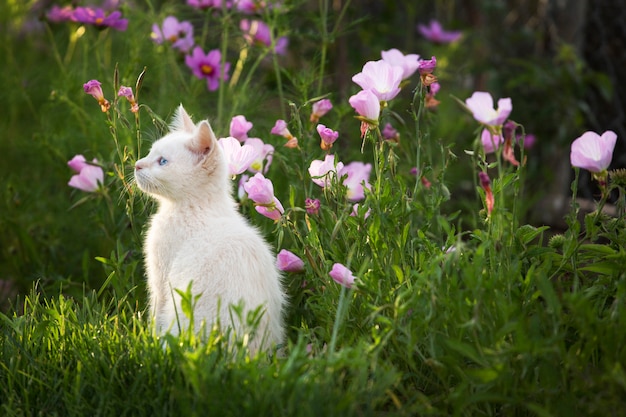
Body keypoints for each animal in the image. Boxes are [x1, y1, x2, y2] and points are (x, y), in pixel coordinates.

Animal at [135, 104, 286, 352]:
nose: (137, 164)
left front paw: (148, 342)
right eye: (149, 152)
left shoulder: (161, 276)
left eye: (162, 161)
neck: (199, 207)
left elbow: (155, 313)